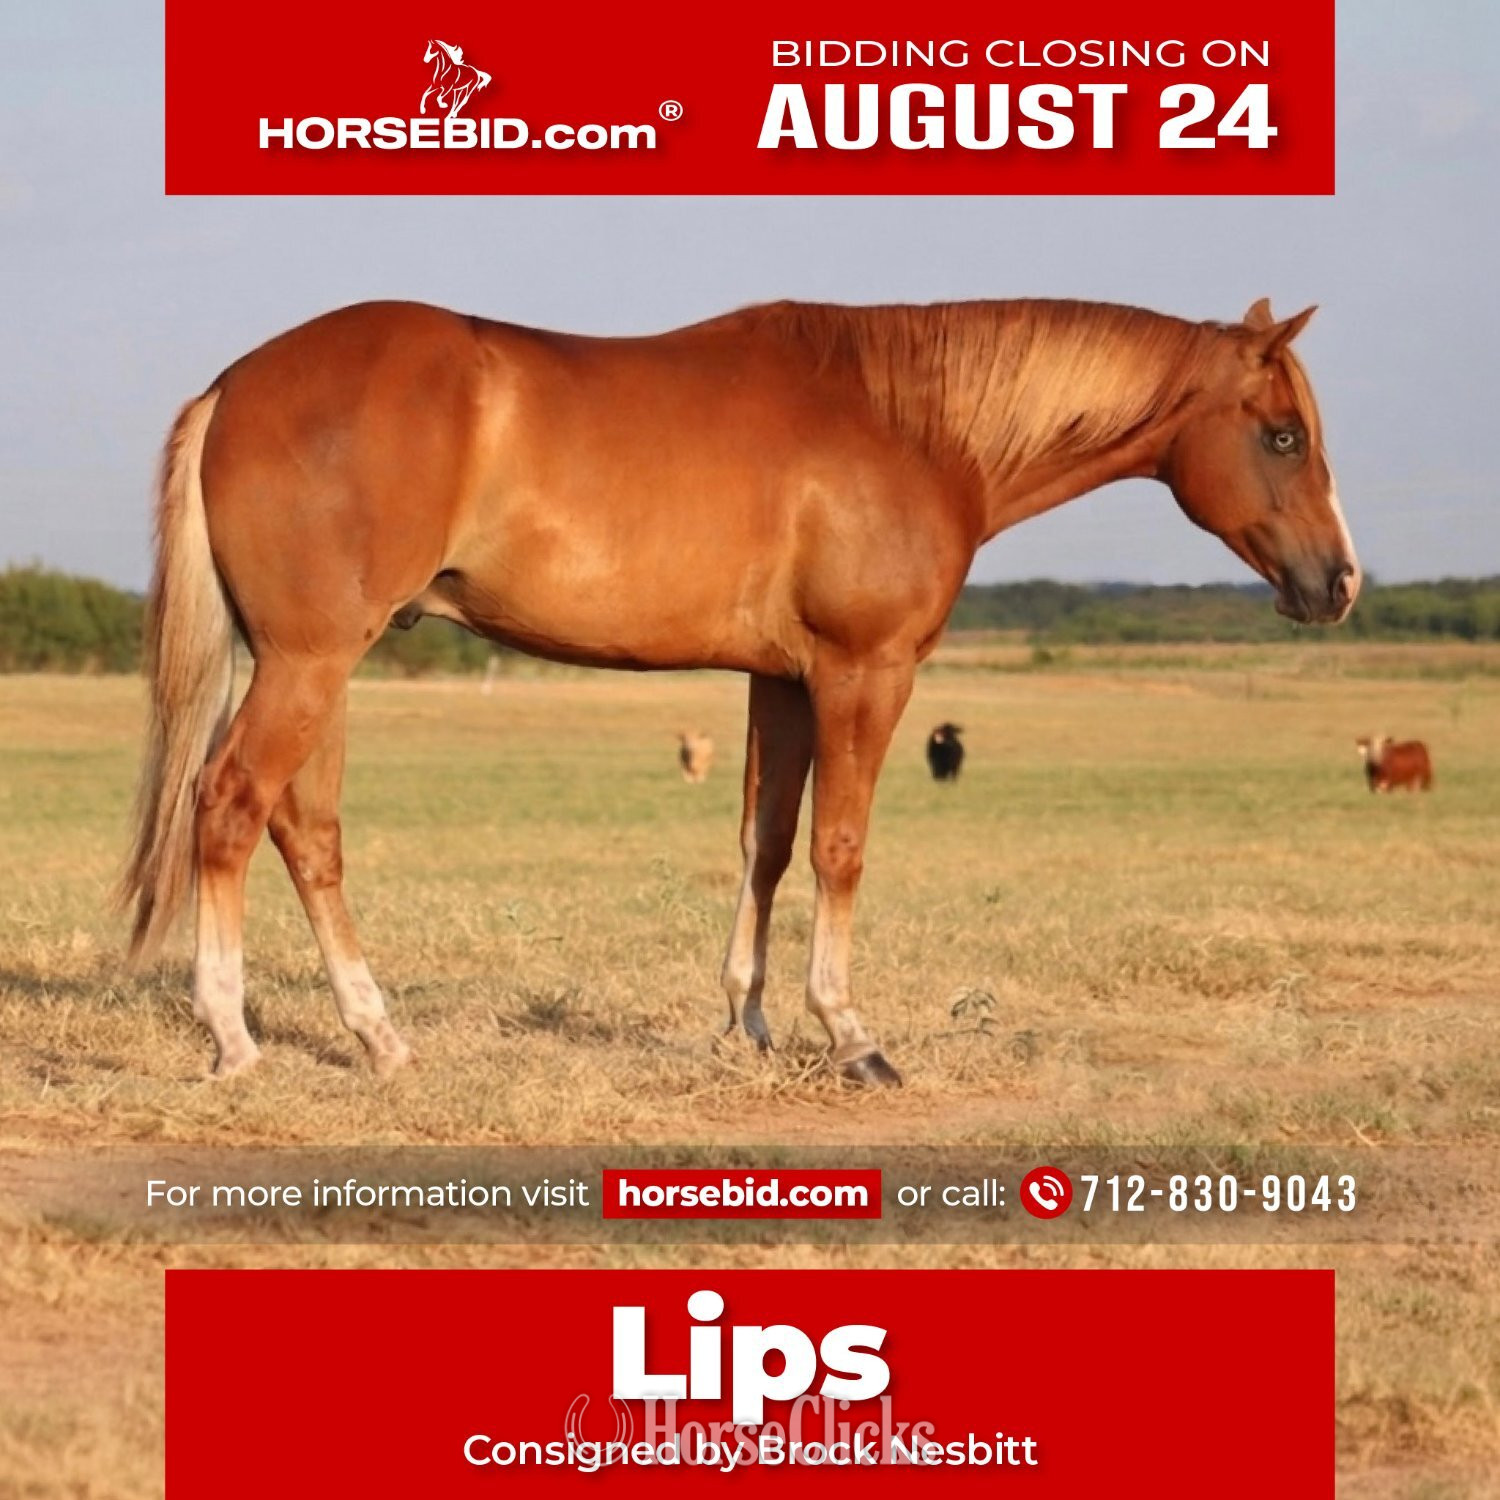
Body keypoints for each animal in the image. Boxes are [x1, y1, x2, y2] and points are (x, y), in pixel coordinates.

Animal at [120, 296, 1359, 1086]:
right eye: (1283, 437)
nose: (1338, 583)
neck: (908, 425)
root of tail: (233, 386)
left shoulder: (782, 682)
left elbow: (764, 842)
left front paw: (747, 1021)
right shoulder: (866, 671)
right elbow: (839, 847)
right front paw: (849, 1034)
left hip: (317, 666)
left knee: (306, 831)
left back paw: (377, 1039)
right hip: (309, 663)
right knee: (228, 807)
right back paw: (232, 1037)